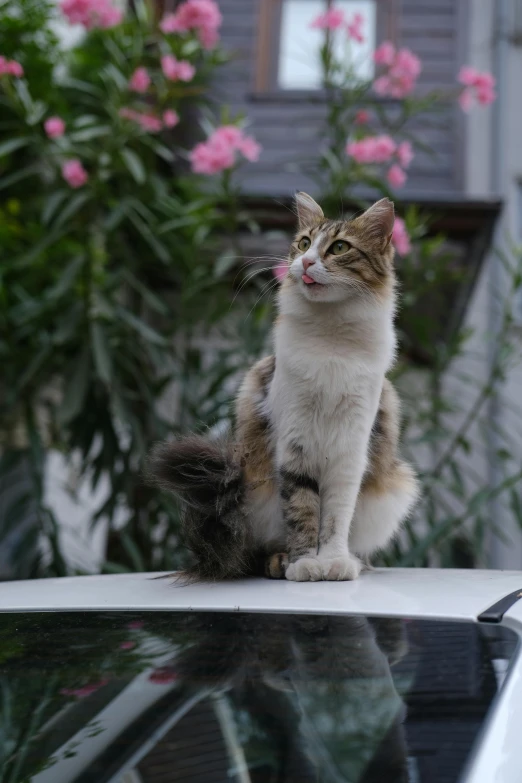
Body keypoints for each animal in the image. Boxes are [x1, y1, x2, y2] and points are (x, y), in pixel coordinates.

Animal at [148, 191, 416, 580]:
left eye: (338, 247)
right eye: (303, 243)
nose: (305, 262)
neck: (331, 339)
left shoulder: (350, 450)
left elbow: (335, 516)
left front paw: (334, 561)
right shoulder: (295, 443)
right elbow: (302, 510)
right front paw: (305, 562)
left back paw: (353, 561)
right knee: (257, 549)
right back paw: (280, 560)